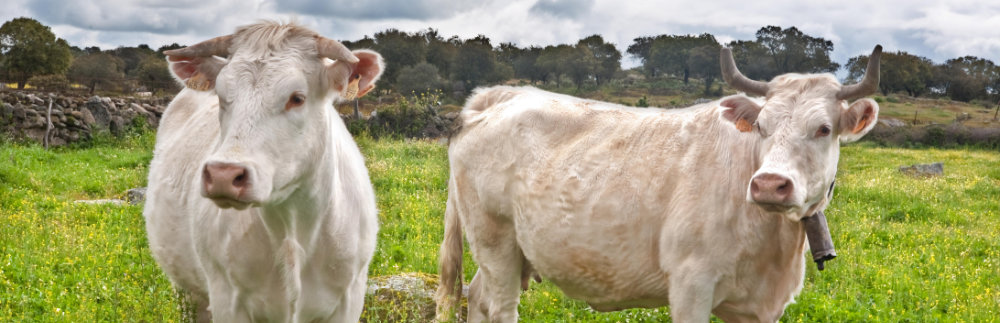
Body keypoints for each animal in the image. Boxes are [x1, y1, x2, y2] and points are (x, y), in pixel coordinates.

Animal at [145, 21, 382, 322]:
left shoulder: (349, 297)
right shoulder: (226, 298)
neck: (293, 227)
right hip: (188, 292)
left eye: (297, 98)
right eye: (221, 95)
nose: (223, 175)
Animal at [434, 45, 880, 322]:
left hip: (510, 251)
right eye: (762, 126)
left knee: (477, 297)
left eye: (823, 129)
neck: (773, 248)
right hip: (494, 239)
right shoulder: (690, 286)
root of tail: (502, 97)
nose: (770, 184)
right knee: (499, 306)